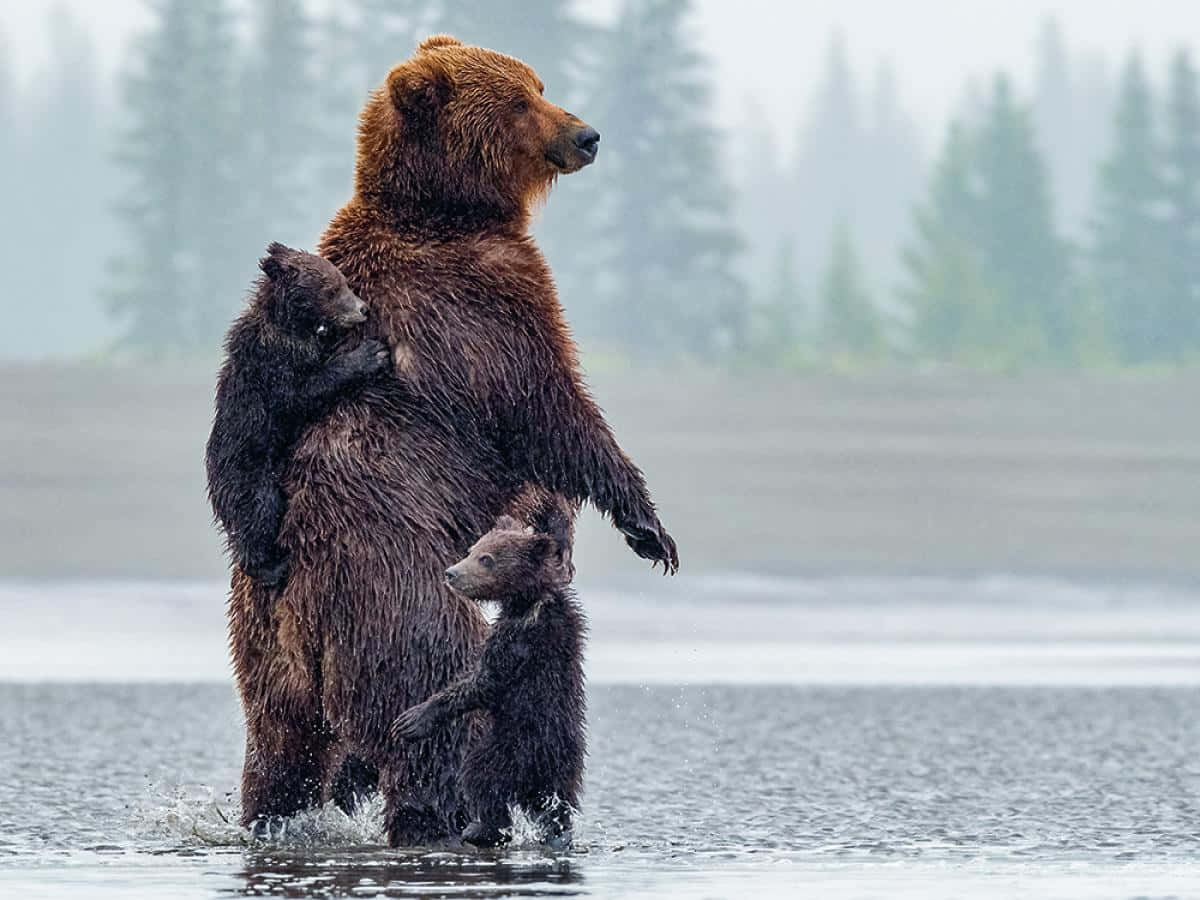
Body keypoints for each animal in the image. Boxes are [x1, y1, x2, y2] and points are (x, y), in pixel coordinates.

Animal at [205, 243, 390, 585]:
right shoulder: (272, 363)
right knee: (259, 513)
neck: (290, 325)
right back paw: (271, 567)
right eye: (332, 290)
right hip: (248, 472)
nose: (363, 309)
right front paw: (370, 354)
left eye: (344, 281)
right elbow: (300, 395)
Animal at [390, 504, 586, 850]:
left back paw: (480, 828)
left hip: (512, 745)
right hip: (563, 769)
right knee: (557, 805)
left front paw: (413, 719)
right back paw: (556, 834)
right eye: (472, 549)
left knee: (481, 778)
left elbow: (484, 682)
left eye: (486, 559)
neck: (528, 601)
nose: (451, 573)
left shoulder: (520, 641)